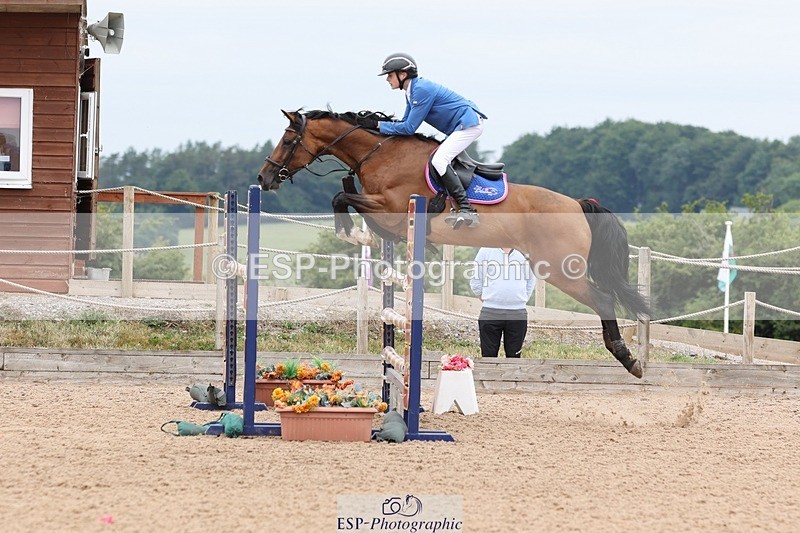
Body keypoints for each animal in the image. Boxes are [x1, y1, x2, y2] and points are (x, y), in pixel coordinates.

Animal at [257, 109, 649, 378]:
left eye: (288, 140)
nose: (264, 178)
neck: (380, 153)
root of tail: (579, 204)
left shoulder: (392, 206)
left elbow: (341, 197)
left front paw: (349, 232)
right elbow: (348, 195)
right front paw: (362, 231)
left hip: (559, 268)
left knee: (602, 299)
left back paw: (627, 358)